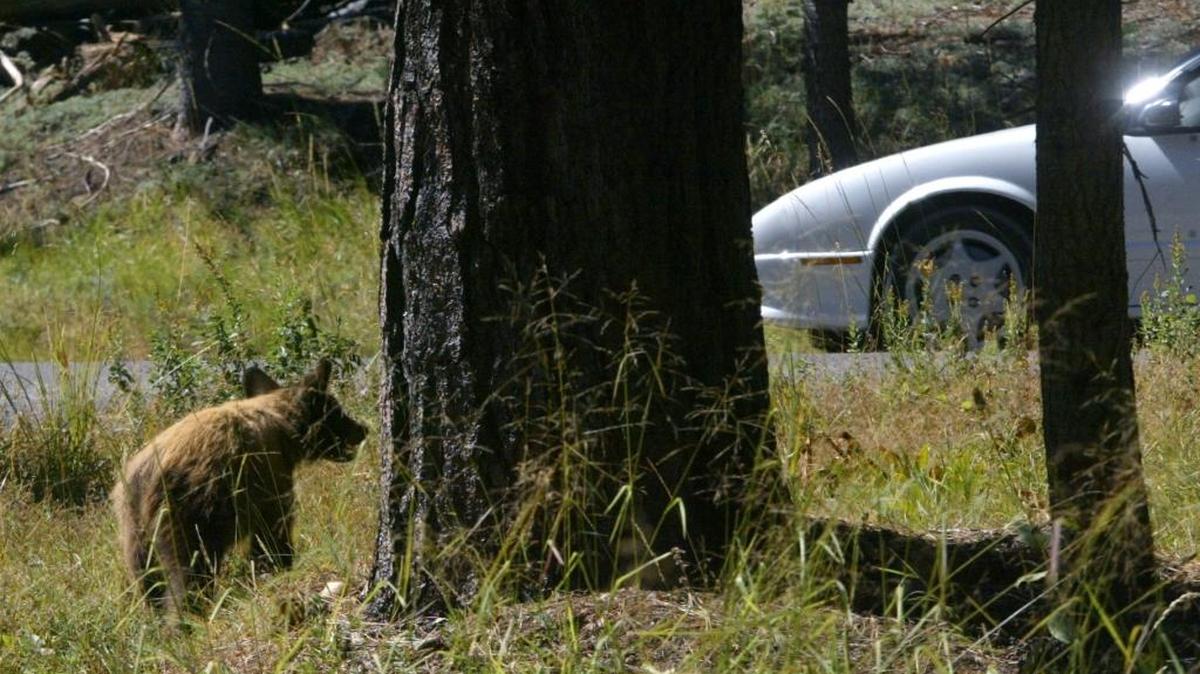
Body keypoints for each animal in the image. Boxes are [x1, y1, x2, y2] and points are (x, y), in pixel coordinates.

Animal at [112, 359, 367, 616]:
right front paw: (278, 567)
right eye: (338, 411)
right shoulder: (268, 481)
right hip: (190, 512)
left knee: (148, 580)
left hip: (133, 528)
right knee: (189, 573)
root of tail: (149, 474)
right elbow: (271, 534)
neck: (283, 429)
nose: (363, 428)